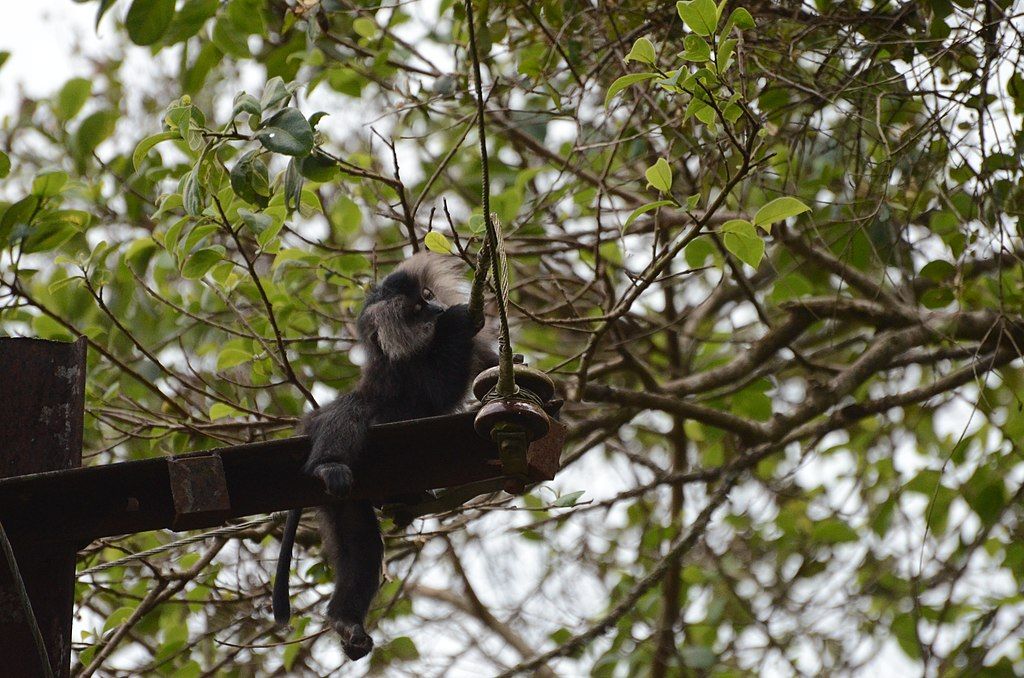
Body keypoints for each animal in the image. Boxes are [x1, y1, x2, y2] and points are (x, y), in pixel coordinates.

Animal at [272, 251, 495, 659]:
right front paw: (459, 319)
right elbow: (439, 390)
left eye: (427, 295)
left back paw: (345, 620)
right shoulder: (406, 374)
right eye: (418, 309)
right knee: (352, 412)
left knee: (359, 546)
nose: (438, 308)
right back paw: (329, 465)